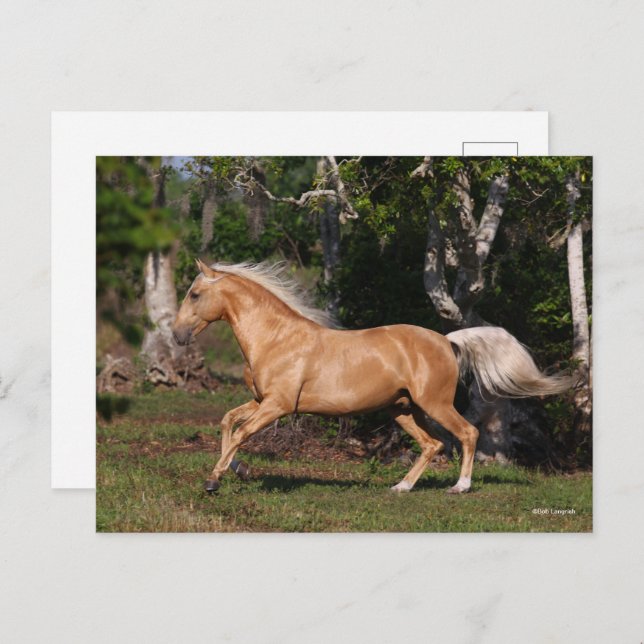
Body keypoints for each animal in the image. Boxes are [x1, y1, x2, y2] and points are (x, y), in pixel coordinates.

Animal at [172, 259, 572, 494]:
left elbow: (241, 432)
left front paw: (213, 480)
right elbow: (228, 422)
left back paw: (460, 487)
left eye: (194, 294)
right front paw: (234, 469)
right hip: (403, 409)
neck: (276, 338)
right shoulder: (260, 400)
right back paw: (401, 488)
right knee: (433, 444)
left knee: (467, 434)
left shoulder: (278, 406)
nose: (176, 336)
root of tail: (447, 340)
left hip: (434, 404)